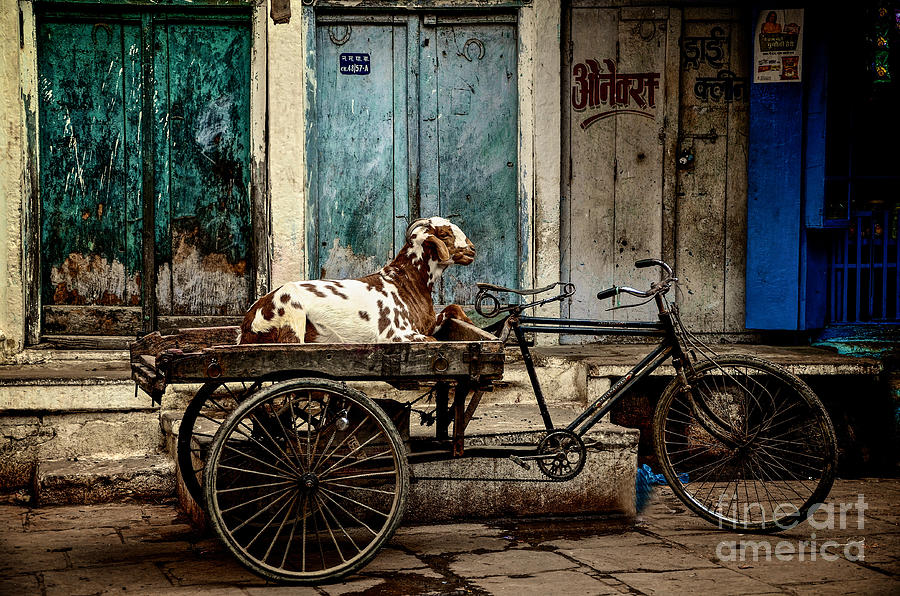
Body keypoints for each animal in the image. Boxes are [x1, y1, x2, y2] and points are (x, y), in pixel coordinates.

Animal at [239, 217, 478, 344]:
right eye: (445, 234)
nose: (472, 249)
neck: (406, 283)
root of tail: (247, 324)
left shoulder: (426, 325)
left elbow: (452, 308)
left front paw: (473, 325)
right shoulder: (396, 334)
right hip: (291, 316)